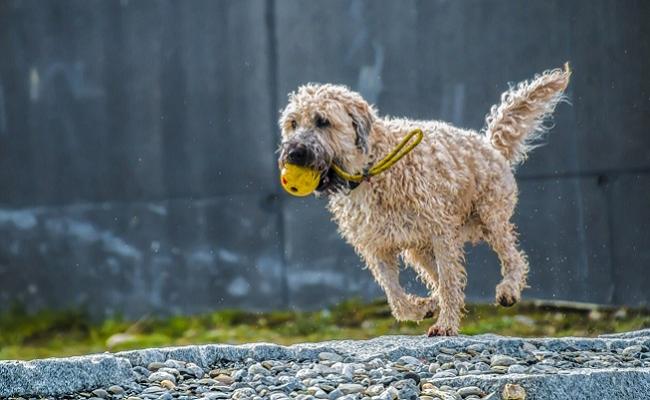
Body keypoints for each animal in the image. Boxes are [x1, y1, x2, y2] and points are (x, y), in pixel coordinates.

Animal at [276, 64, 568, 336]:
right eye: (293, 123)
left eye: (322, 121)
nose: (293, 153)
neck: (372, 169)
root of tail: (489, 145)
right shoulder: (376, 246)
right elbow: (395, 293)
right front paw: (422, 308)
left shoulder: (441, 233)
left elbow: (449, 281)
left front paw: (446, 324)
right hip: (419, 248)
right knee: (443, 276)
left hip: (490, 217)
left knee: (512, 257)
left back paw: (508, 290)